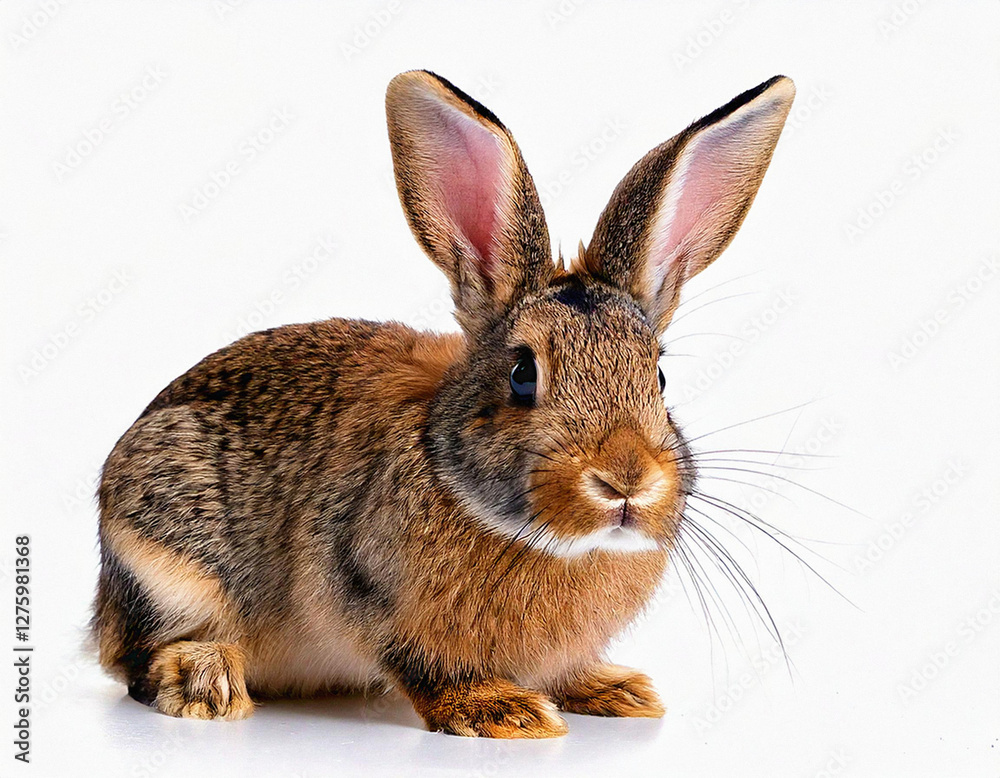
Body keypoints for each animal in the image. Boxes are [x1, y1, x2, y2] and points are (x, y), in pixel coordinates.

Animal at [91, 70, 794, 738]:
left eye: (660, 377)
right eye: (522, 373)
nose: (625, 480)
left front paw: (616, 691)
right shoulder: (371, 599)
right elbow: (425, 666)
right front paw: (505, 713)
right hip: (166, 554)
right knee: (138, 659)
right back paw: (206, 682)